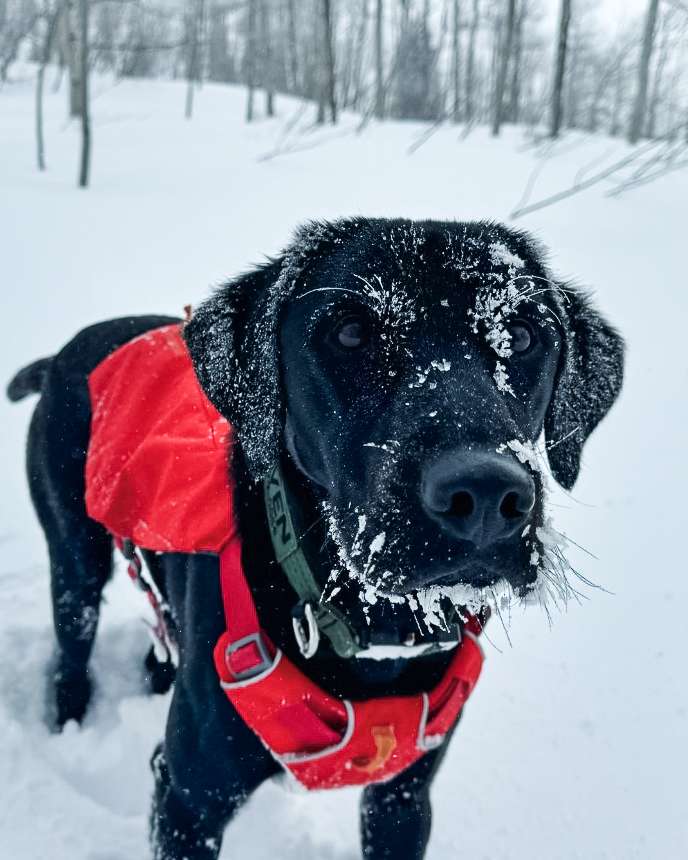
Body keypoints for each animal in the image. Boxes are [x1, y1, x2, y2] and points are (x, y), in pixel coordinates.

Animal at [8, 220, 628, 860]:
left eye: (524, 334)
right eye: (349, 331)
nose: (483, 494)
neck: (376, 636)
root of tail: (66, 351)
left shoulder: (403, 798)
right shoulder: (187, 797)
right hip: (74, 558)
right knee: (72, 649)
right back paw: (69, 722)